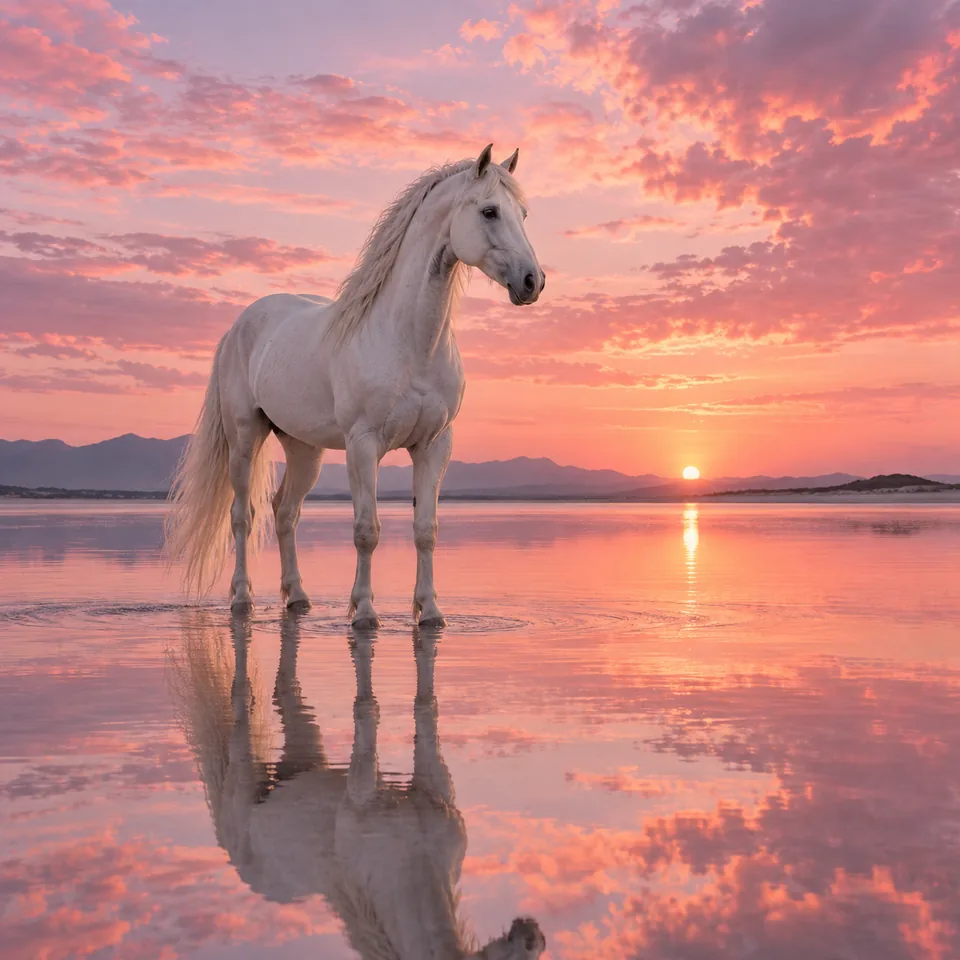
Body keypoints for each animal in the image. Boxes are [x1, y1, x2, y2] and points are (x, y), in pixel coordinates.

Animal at [164, 144, 544, 628]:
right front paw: (364, 612)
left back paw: (298, 597)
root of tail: (239, 326)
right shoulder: (364, 445)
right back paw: (242, 599)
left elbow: (426, 530)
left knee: (285, 512)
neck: (410, 342)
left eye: (524, 214)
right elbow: (367, 530)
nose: (533, 281)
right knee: (242, 516)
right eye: (490, 211)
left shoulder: (434, 445)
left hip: (304, 449)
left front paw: (430, 612)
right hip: (244, 438)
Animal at [167, 612, 547, 960]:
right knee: (240, 703)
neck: (415, 867)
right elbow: (367, 710)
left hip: (305, 745)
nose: (532, 933)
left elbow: (425, 709)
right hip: (242, 777)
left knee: (285, 691)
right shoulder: (362, 787)